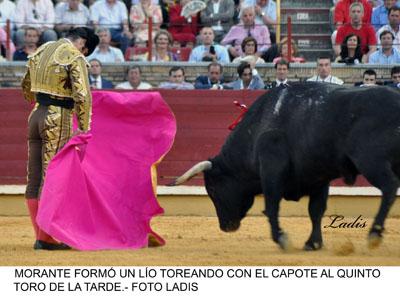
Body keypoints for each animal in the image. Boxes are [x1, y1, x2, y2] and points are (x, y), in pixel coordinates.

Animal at [171, 82, 400, 251]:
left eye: (212, 188)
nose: (225, 226)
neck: (257, 128)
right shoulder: (319, 178)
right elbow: (316, 210)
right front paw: (312, 243)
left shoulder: (272, 170)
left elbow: (272, 205)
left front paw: (281, 239)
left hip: (370, 161)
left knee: (389, 187)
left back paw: (374, 234)